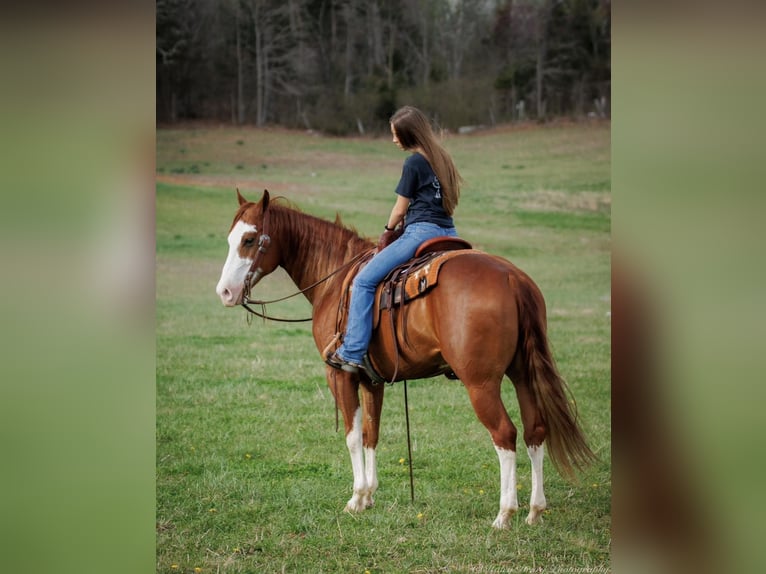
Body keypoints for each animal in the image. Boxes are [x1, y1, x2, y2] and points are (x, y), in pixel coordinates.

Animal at [216, 190, 600, 532]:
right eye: (230, 238)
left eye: (250, 239)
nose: (225, 292)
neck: (336, 278)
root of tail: (512, 278)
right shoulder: (371, 379)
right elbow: (371, 434)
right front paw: (369, 496)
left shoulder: (339, 375)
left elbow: (352, 436)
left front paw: (355, 498)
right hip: (522, 374)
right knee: (536, 430)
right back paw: (535, 511)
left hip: (481, 384)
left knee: (505, 434)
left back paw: (505, 514)